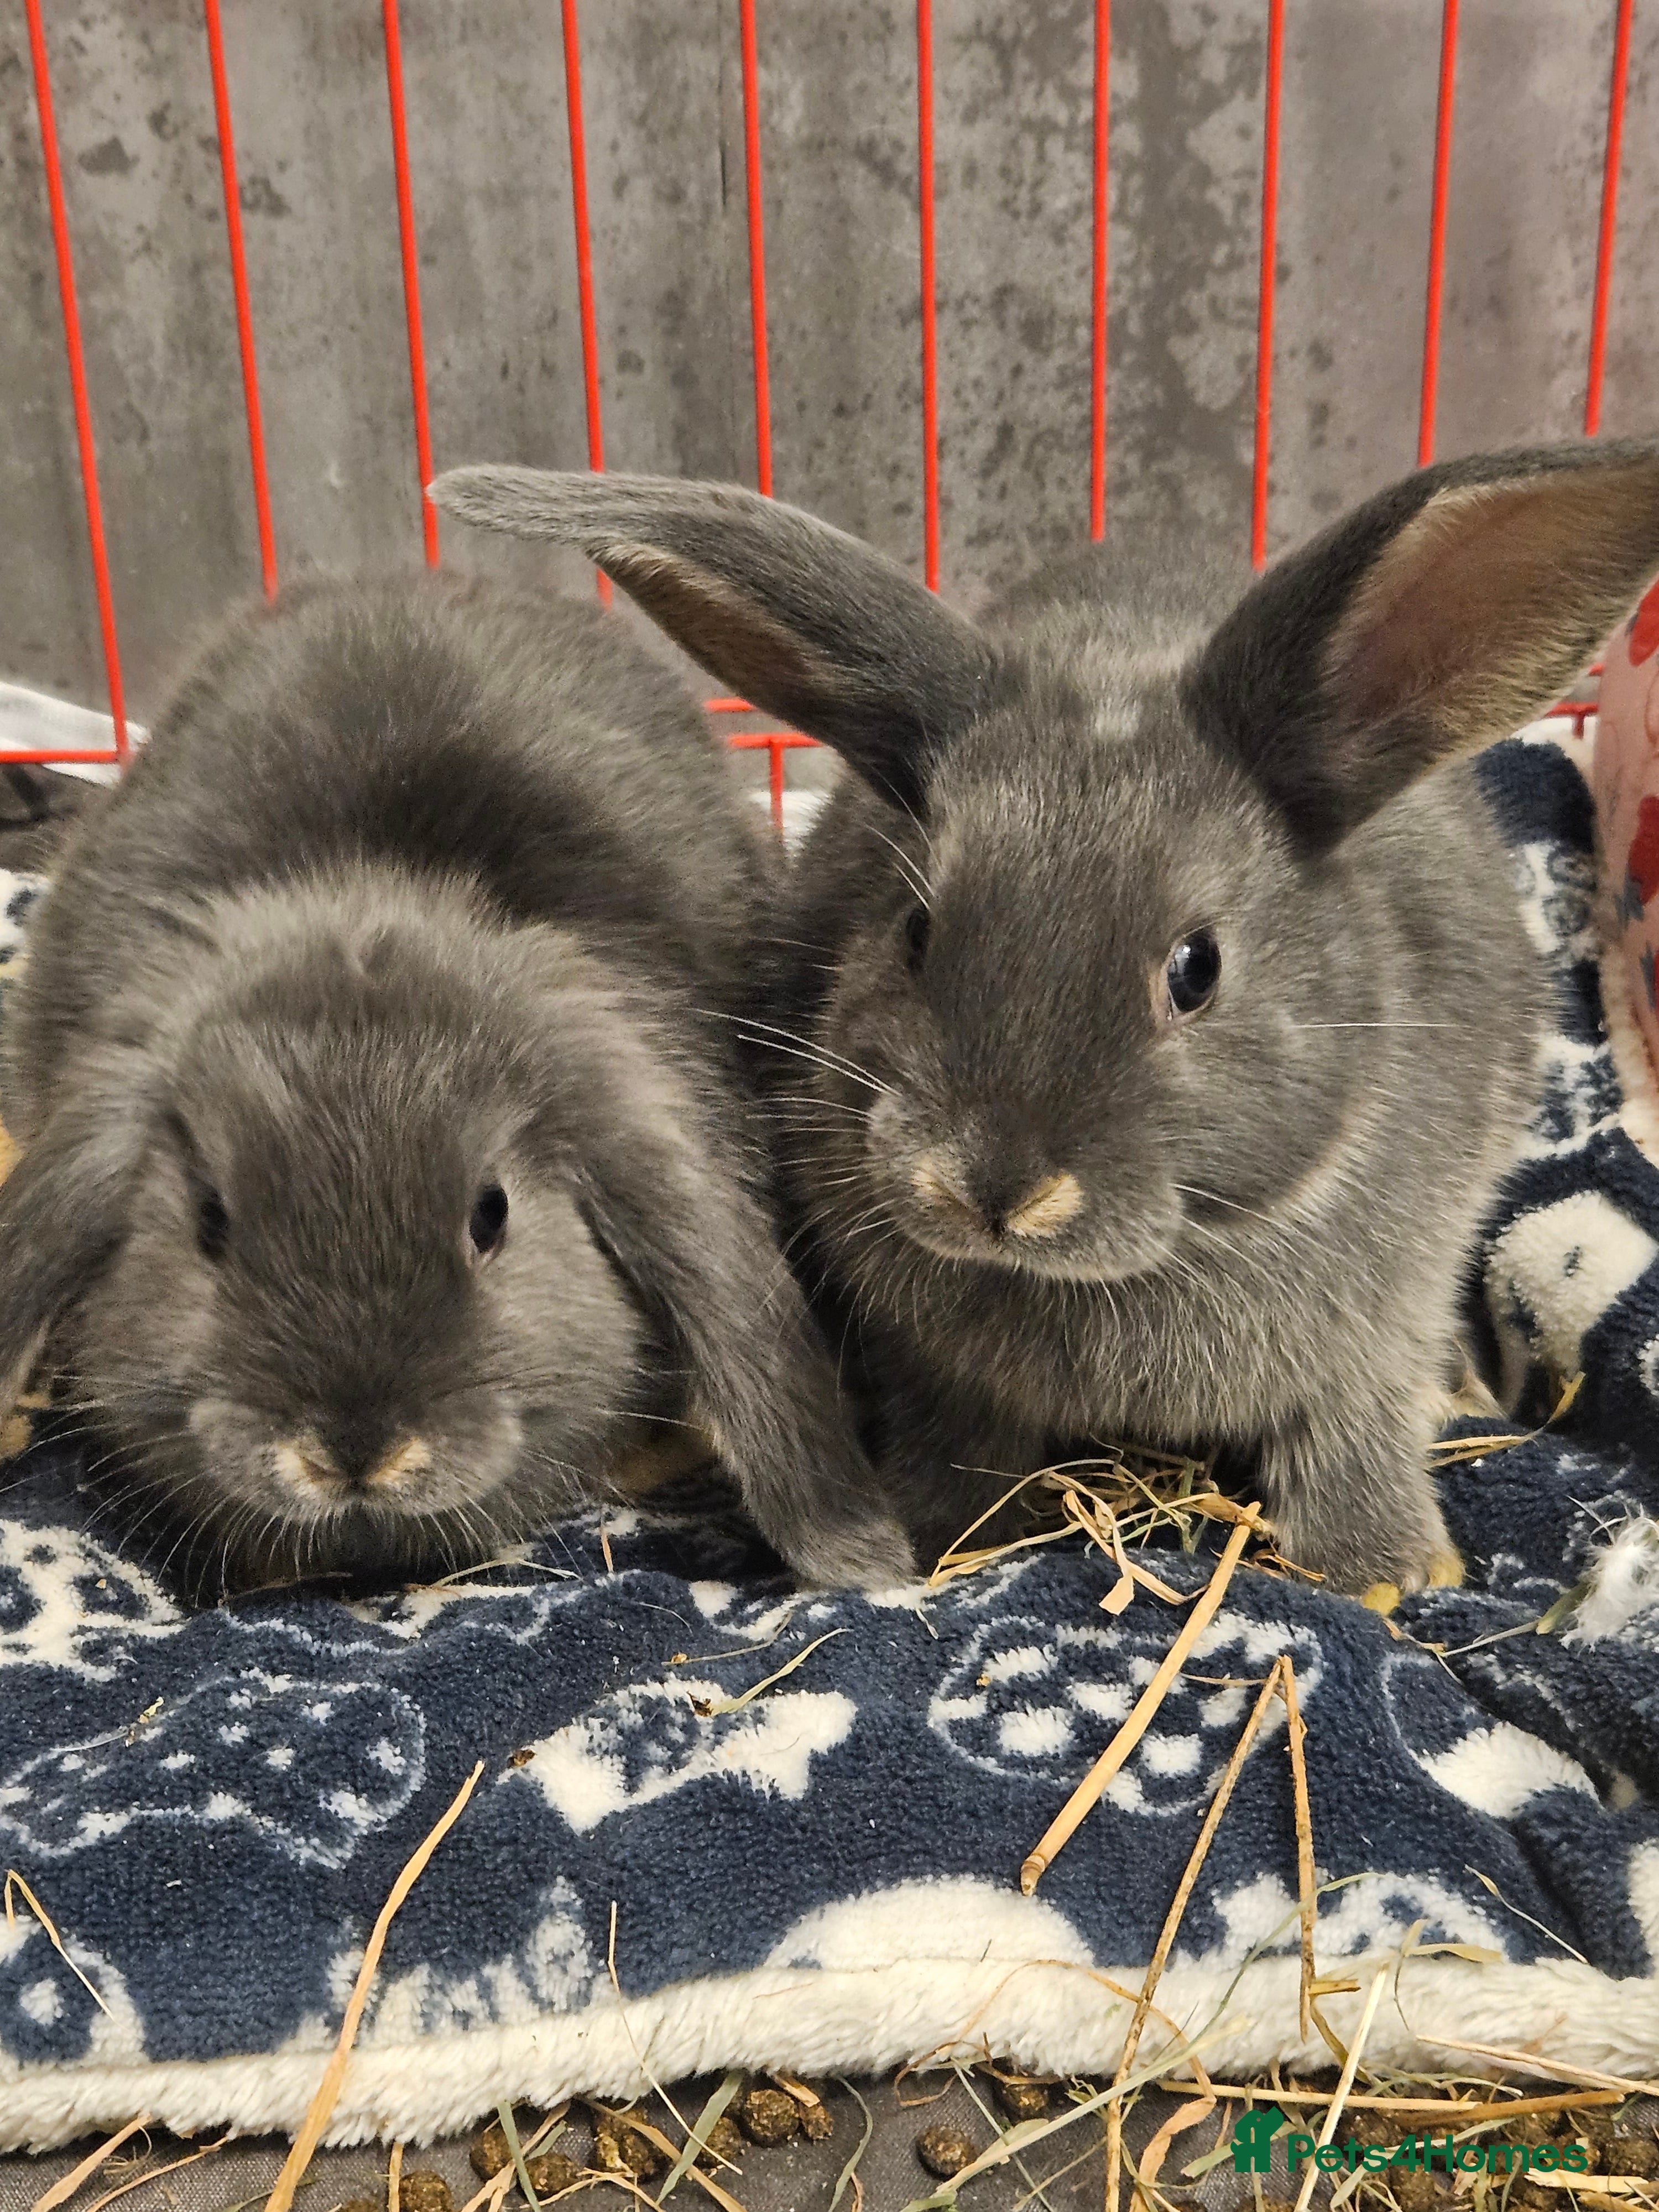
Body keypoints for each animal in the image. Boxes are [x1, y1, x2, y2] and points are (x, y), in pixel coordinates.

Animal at [429, 441, 1659, 1597]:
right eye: (915, 927)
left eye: (1197, 968)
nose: (988, 1189)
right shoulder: (931, 1367)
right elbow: (959, 1438)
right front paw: (948, 1538)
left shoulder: (1381, 1323)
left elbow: (1349, 1427)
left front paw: (1385, 1570)